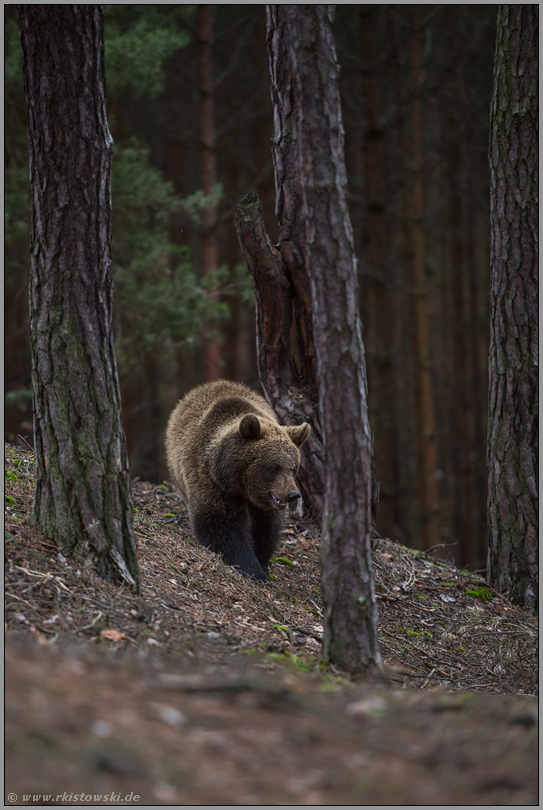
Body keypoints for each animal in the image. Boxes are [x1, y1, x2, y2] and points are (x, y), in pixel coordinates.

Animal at [165, 380, 310, 580]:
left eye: (293, 467)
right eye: (275, 466)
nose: (293, 494)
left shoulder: (265, 503)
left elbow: (265, 529)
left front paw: (262, 564)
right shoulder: (211, 482)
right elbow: (222, 526)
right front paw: (254, 570)